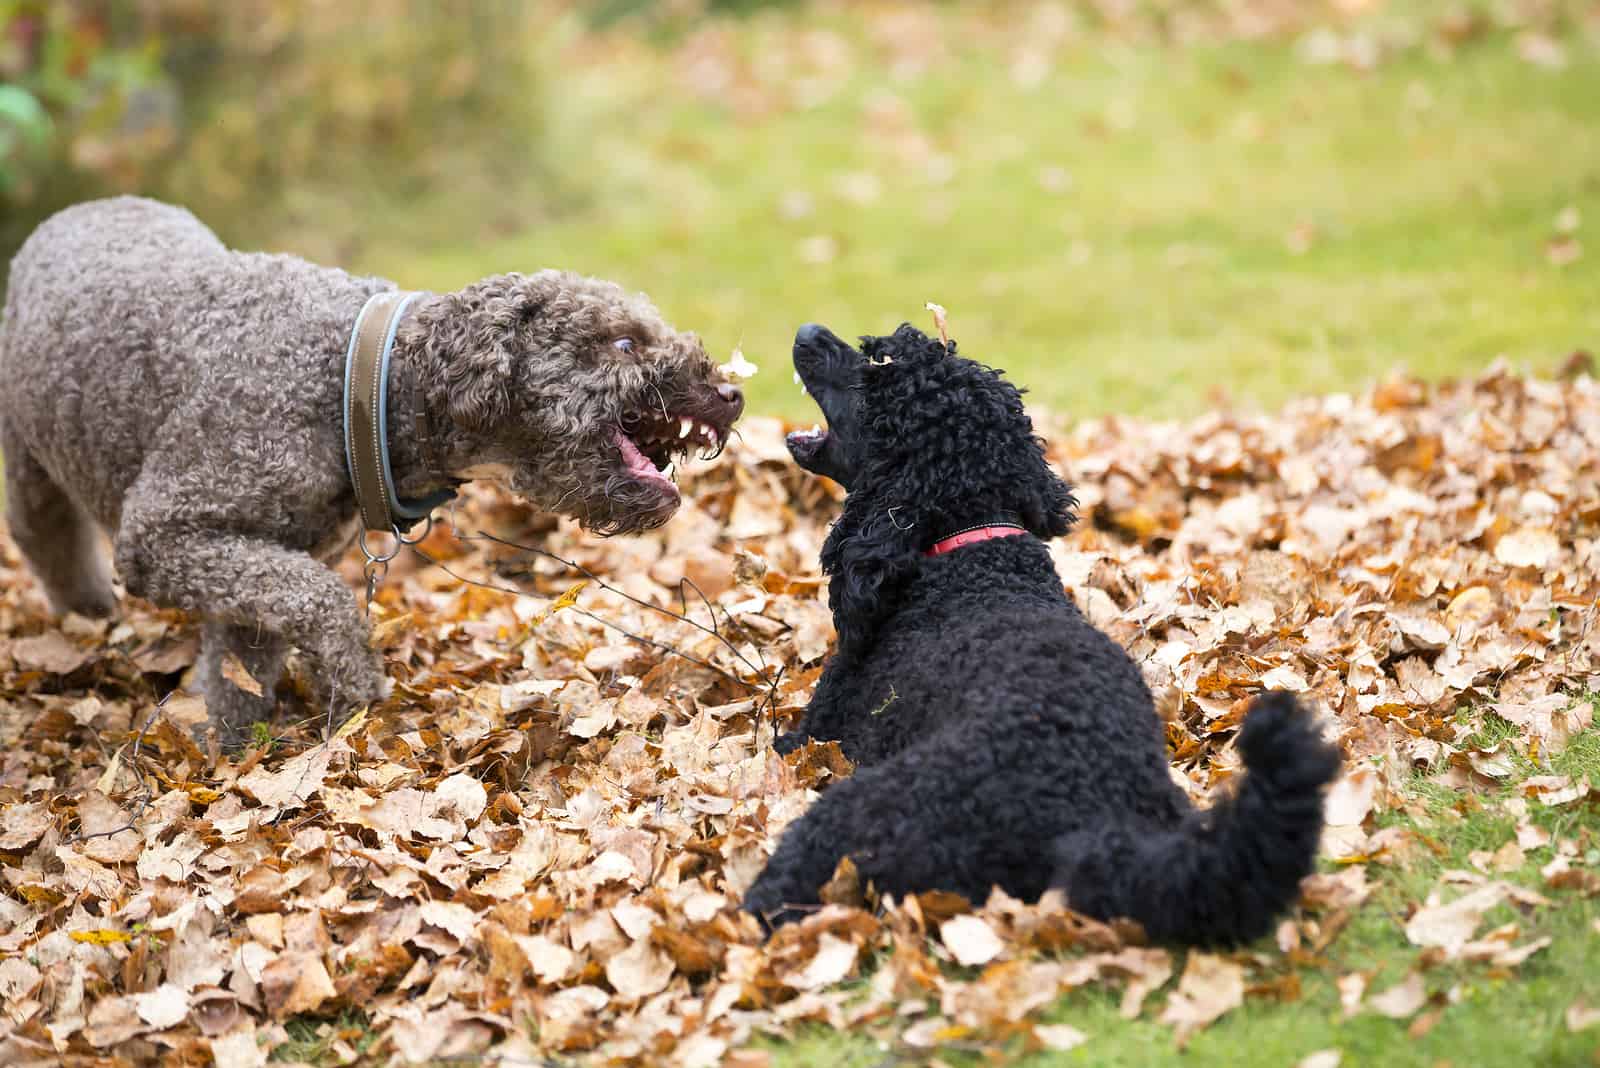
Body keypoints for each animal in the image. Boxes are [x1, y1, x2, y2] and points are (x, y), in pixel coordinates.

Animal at [742, 322, 1344, 940]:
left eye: (876, 369)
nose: (808, 332)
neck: (975, 552)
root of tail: (1090, 813)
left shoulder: (818, 730)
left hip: (859, 811)